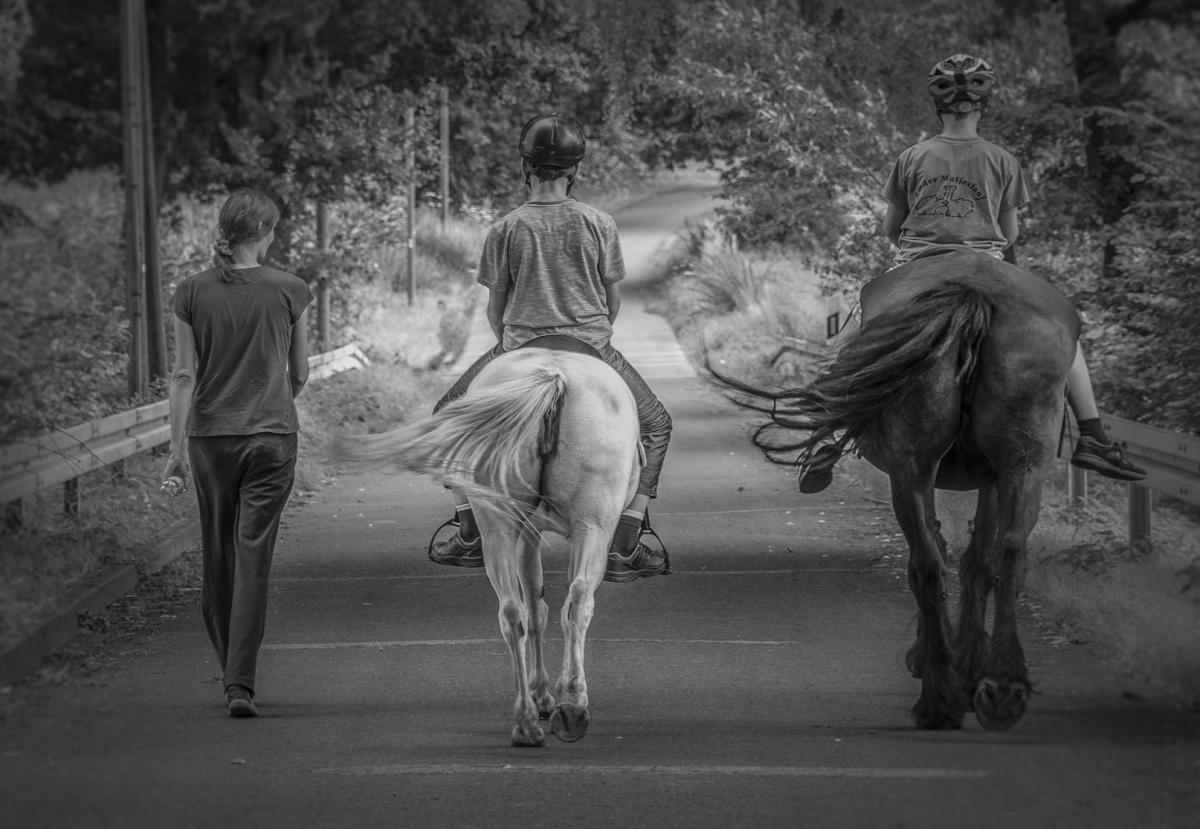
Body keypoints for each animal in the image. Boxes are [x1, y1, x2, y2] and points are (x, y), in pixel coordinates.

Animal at [333, 343, 643, 743]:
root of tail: (554, 378)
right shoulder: (536, 533)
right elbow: (541, 610)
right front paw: (546, 695)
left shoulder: (528, 531)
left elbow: (533, 609)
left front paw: (541, 696)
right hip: (593, 526)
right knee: (577, 602)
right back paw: (572, 706)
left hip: (500, 525)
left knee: (512, 611)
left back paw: (526, 722)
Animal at [710, 253, 1080, 734]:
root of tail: (973, 295)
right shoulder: (990, 478)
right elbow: (976, 558)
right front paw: (966, 665)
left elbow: (971, 557)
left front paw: (962, 664)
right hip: (1002, 465)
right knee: (979, 555)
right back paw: (984, 691)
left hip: (931, 468)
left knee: (942, 561)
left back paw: (961, 694)